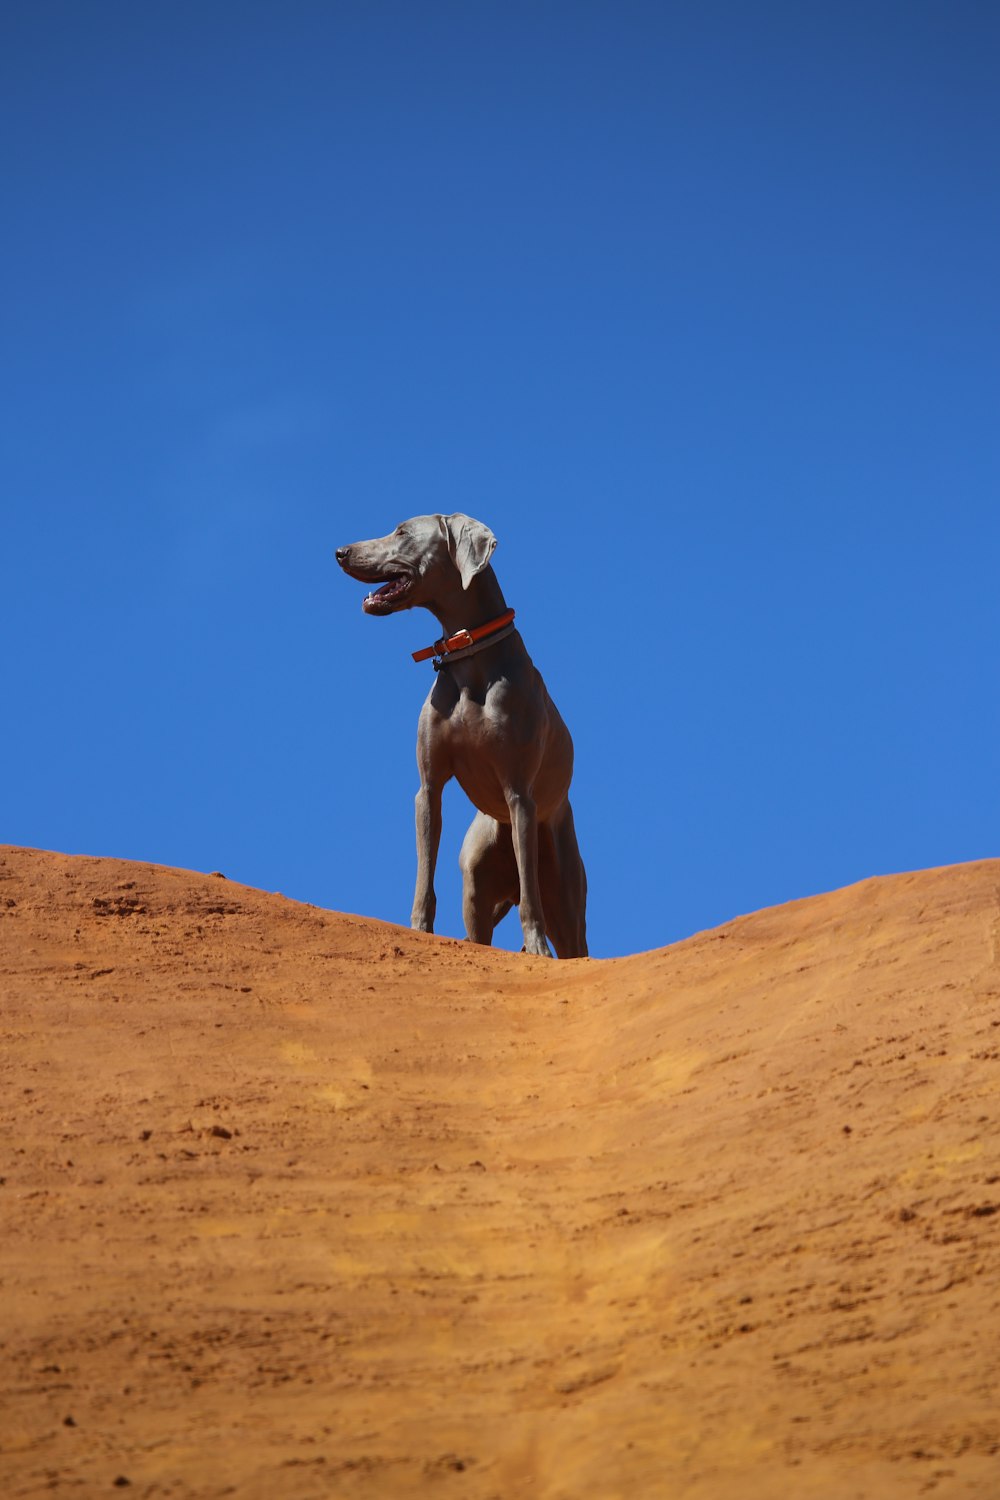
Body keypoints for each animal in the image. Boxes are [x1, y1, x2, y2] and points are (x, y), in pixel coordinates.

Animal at [338, 516, 587, 960]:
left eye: (402, 532)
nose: (340, 552)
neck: (469, 651)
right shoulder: (428, 786)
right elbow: (424, 872)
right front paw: (419, 929)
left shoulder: (519, 793)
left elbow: (531, 897)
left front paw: (536, 945)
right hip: (477, 887)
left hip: (567, 895)